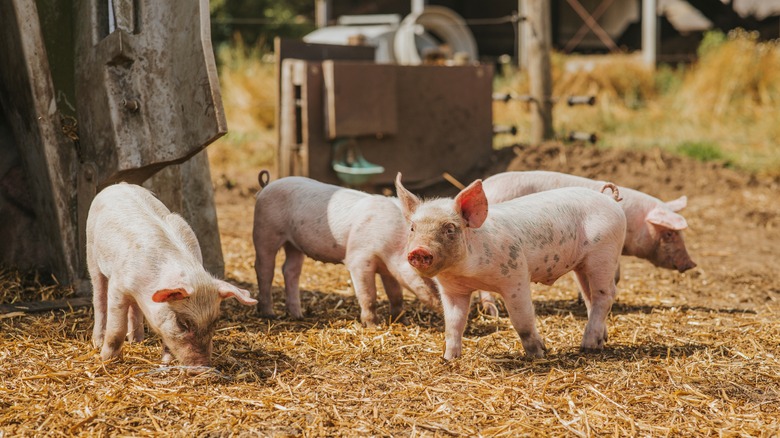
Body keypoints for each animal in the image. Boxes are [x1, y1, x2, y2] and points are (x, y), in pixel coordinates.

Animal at [87, 183, 257, 367]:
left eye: (214, 322)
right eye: (182, 323)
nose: (203, 366)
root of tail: (119, 184)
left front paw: (166, 362)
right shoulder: (118, 286)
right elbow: (117, 330)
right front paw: (106, 359)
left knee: (135, 309)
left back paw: (137, 341)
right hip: (91, 252)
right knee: (99, 299)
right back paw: (98, 342)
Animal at [253, 175, 441, 327]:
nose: (442, 306)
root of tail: (266, 186)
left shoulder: (389, 269)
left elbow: (396, 295)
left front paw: (403, 321)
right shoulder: (358, 259)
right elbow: (369, 296)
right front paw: (373, 326)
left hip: (294, 245)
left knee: (290, 270)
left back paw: (298, 315)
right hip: (265, 230)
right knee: (264, 269)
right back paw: (269, 314)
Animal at [395, 173, 626, 359]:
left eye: (450, 228)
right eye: (413, 228)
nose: (419, 251)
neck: (470, 274)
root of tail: (609, 199)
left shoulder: (516, 276)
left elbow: (521, 320)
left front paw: (538, 354)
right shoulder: (452, 289)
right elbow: (453, 324)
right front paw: (449, 358)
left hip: (604, 253)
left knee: (606, 295)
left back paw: (588, 347)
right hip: (582, 265)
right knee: (590, 297)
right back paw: (601, 340)